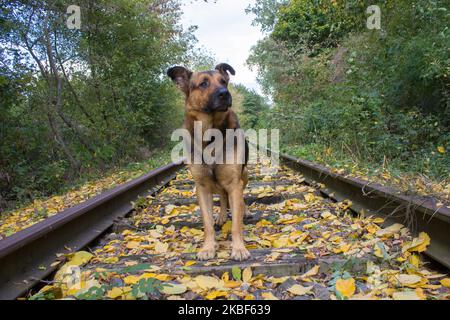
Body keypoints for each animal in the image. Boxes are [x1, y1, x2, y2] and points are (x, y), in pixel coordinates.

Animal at [167, 63, 251, 262]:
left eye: (224, 81)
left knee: (238, 198)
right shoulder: (202, 187)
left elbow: (236, 224)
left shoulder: (234, 183)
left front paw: (238, 248)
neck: (210, 134)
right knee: (222, 197)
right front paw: (208, 247)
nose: (224, 93)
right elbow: (207, 223)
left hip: (244, 175)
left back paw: (244, 210)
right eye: (203, 84)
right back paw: (221, 216)